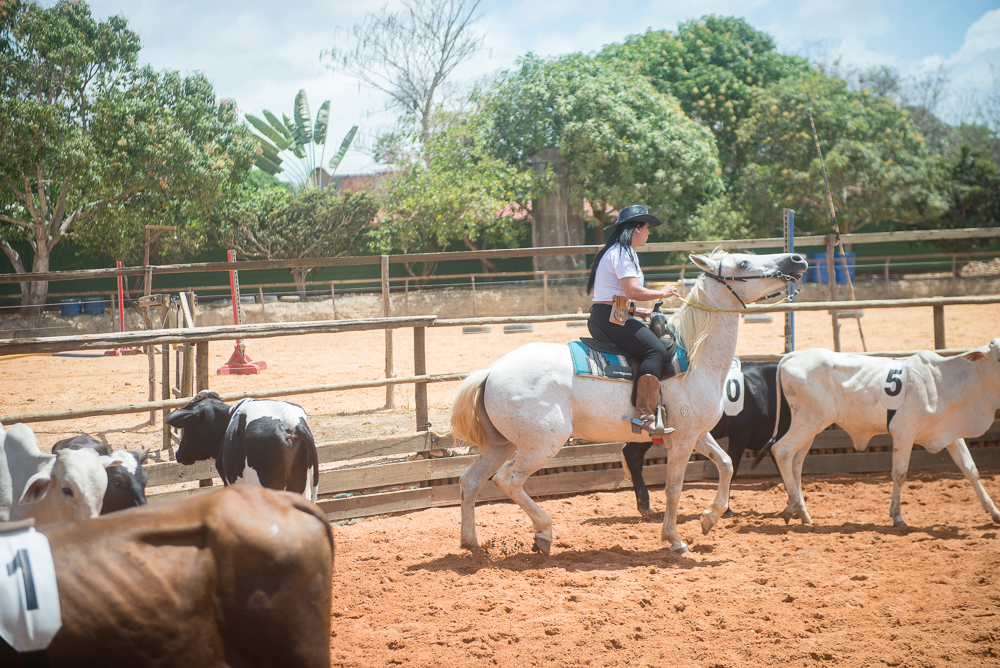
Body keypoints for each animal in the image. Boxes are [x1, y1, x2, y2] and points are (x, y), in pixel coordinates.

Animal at [620, 360, 792, 516]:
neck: (763, 387)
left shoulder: (771, 438)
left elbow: (781, 462)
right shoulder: (740, 434)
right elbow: (735, 466)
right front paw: (726, 508)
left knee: (632, 453)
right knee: (632, 453)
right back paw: (644, 504)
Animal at [752, 340, 1000, 528]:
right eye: (998, 357)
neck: (943, 380)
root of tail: (792, 356)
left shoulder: (950, 433)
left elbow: (970, 469)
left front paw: (995, 513)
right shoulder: (904, 433)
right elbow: (899, 474)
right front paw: (898, 517)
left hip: (809, 426)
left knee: (796, 463)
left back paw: (803, 514)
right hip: (809, 421)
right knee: (781, 450)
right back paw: (791, 506)